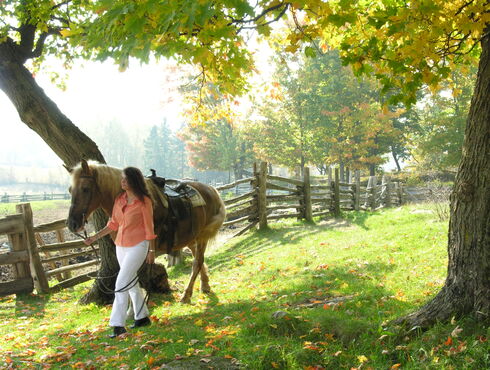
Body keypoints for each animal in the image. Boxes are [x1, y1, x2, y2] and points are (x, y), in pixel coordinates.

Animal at [64, 160, 226, 304]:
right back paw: (205, 285)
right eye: (70, 190)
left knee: (197, 262)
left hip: (202, 237)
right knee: (199, 260)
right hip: (191, 237)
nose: (72, 224)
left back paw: (186, 295)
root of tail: (212, 190)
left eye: (85, 188)